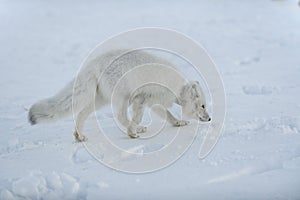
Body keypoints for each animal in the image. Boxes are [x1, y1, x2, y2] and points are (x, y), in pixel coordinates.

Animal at [28, 49, 211, 141]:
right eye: (203, 106)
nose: (209, 119)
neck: (177, 87)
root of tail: (94, 62)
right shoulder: (141, 98)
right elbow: (136, 117)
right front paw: (133, 130)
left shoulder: (153, 102)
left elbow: (168, 116)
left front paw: (179, 122)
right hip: (122, 97)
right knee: (120, 116)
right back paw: (134, 131)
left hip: (100, 100)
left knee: (80, 114)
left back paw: (79, 136)